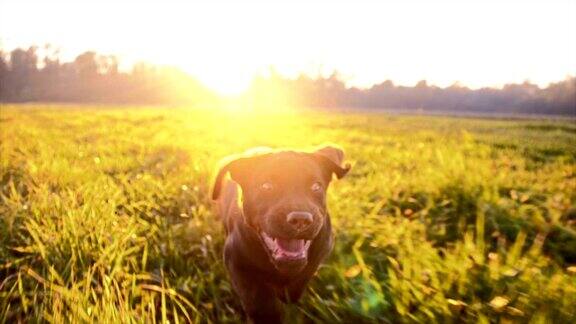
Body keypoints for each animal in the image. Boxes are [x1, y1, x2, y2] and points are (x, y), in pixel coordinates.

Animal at [213, 146, 352, 322]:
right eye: (266, 186)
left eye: (316, 187)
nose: (300, 219)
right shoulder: (237, 262)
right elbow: (259, 302)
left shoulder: (321, 252)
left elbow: (301, 278)